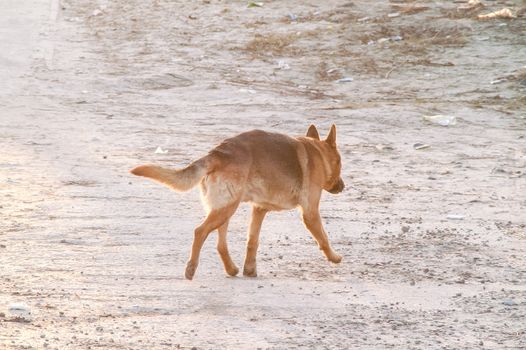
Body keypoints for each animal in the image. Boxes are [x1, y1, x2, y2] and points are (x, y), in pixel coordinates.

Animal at [131, 124, 346, 280]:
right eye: (340, 163)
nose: (343, 186)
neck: (318, 153)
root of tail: (216, 153)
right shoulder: (310, 213)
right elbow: (323, 238)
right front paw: (334, 257)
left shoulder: (259, 209)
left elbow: (252, 241)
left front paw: (249, 269)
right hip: (226, 209)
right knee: (200, 231)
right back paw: (191, 268)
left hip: (223, 209)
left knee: (220, 244)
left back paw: (232, 269)